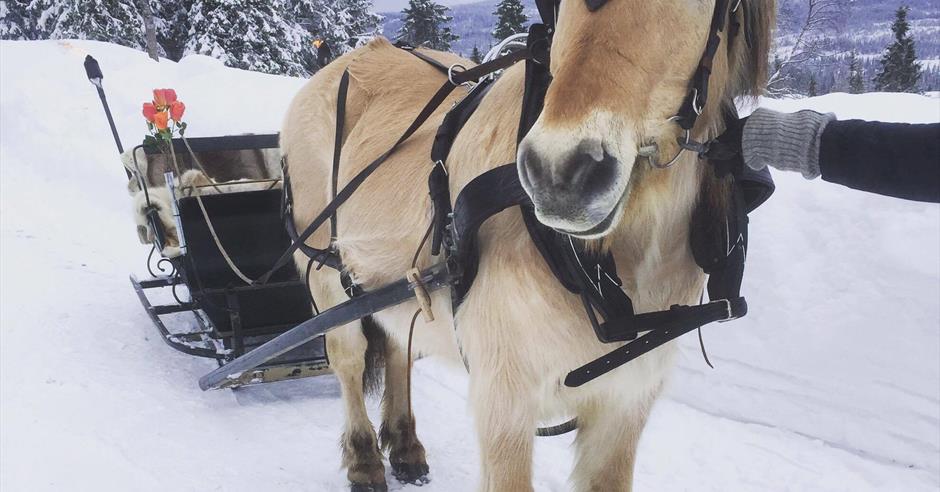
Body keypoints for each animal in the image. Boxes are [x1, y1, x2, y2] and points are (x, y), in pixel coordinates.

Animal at [282, 0, 776, 488]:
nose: (561, 174)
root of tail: (343, 60)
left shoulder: (625, 403)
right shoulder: (504, 402)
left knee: (397, 345)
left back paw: (405, 448)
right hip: (327, 274)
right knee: (349, 359)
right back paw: (364, 459)